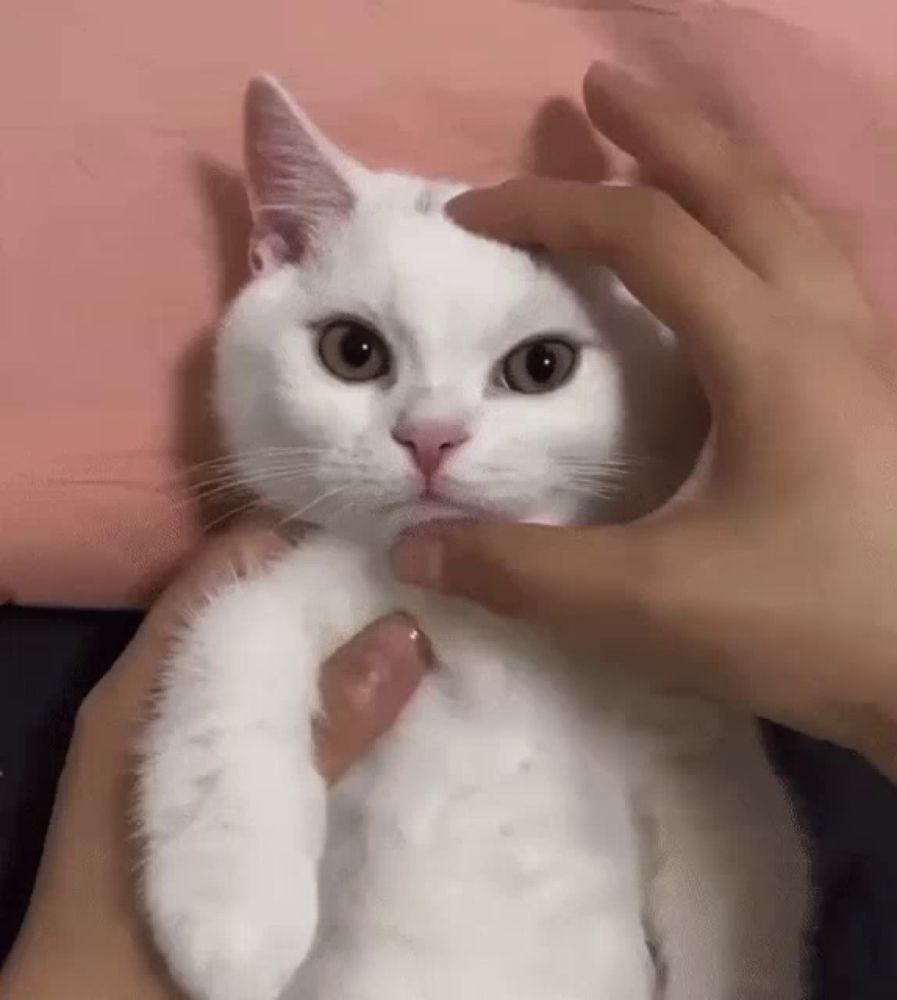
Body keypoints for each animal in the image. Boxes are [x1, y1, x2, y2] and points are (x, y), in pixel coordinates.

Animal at [140, 78, 812, 1000]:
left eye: (540, 366)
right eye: (352, 350)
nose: (429, 437)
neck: (484, 627)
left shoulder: (688, 720)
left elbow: (743, 869)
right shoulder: (325, 590)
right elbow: (229, 641)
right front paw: (234, 921)